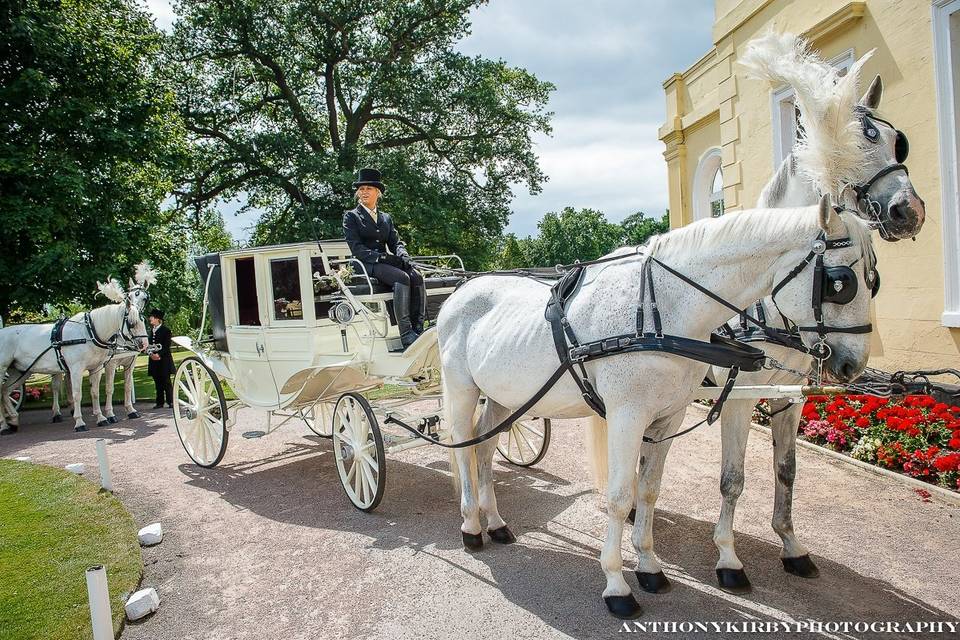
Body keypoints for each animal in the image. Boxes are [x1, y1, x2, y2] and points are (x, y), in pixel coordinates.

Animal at [0, 280, 148, 436]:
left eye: (145, 299)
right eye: (131, 323)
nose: (145, 344)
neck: (89, 332)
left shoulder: (100, 367)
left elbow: (97, 392)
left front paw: (102, 417)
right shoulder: (83, 368)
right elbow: (83, 393)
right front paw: (81, 422)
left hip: (21, 371)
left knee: (5, 391)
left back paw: (14, 420)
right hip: (4, 369)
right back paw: (5, 425)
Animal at [438, 198, 872, 616]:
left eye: (874, 280)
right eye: (840, 283)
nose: (852, 364)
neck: (660, 312)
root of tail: (460, 291)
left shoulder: (669, 417)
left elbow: (648, 490)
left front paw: (648, 565)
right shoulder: (632, 416)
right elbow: (619, 497)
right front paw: (617, 584)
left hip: (503, 397)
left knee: (484, 448)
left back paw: (495, 522)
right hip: (461, 390)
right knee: (462, 448)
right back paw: (471, 526)